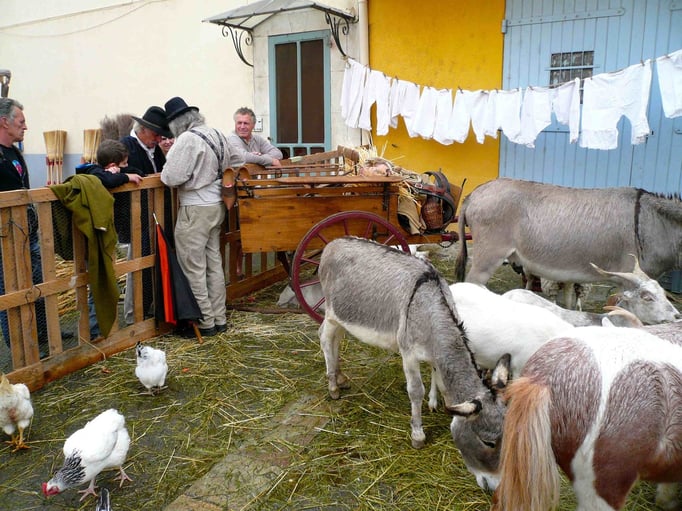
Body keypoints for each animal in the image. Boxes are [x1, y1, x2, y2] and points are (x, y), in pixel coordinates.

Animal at [318, 236, 509, 491]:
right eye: (488, 442)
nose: (494, 488)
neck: (428, 307)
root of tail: (334, 242)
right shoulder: (408, 354)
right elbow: (415, 391)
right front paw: (418, 435)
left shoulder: (436, 354)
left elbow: (442, 384)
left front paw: (440, 406)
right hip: (331, 313)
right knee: (325, 339)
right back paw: (333, 386)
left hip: (343, 316)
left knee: (337, 340)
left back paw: (340, 377)